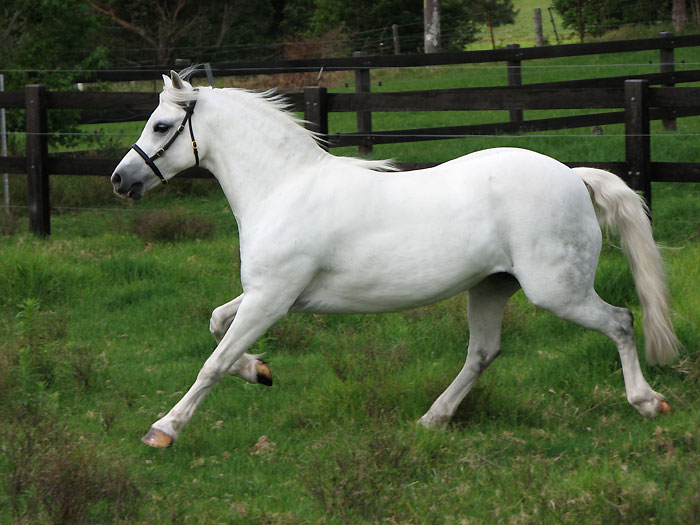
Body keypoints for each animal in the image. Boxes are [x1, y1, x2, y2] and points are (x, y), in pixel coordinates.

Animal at [111, 70, 679, 448]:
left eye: (160, 126)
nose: (120, 180)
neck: (283, 188)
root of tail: (573, 176)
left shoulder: (271, 299)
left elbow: (213, 361)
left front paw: (163, 429)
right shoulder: (272, 296)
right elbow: (216, 326)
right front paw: (261, 372)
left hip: (557, 291)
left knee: (622, 321)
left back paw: (648, 401)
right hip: (492, 285)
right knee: (483, 352)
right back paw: (433, 420)